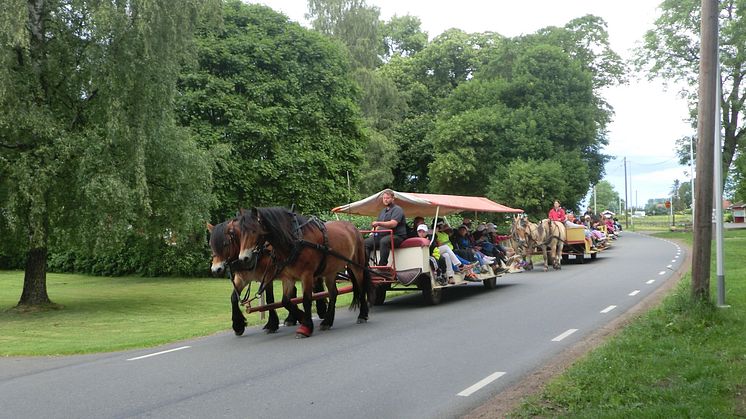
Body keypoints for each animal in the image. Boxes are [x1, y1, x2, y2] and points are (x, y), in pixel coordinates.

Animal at [238, 208, 372, 340]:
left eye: (254, 230)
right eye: (240, 233)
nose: (243, 258)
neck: (295, 241)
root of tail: (354, 228)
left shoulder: (307, 275)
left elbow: (306, 299)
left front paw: (306, 327)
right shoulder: (288, 278)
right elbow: (285, 301)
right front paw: (302, 318)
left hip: (357, 266)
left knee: (361, 288)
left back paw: (362, 315)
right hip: (330, 271)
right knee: (333, 293)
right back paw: (327, 322)